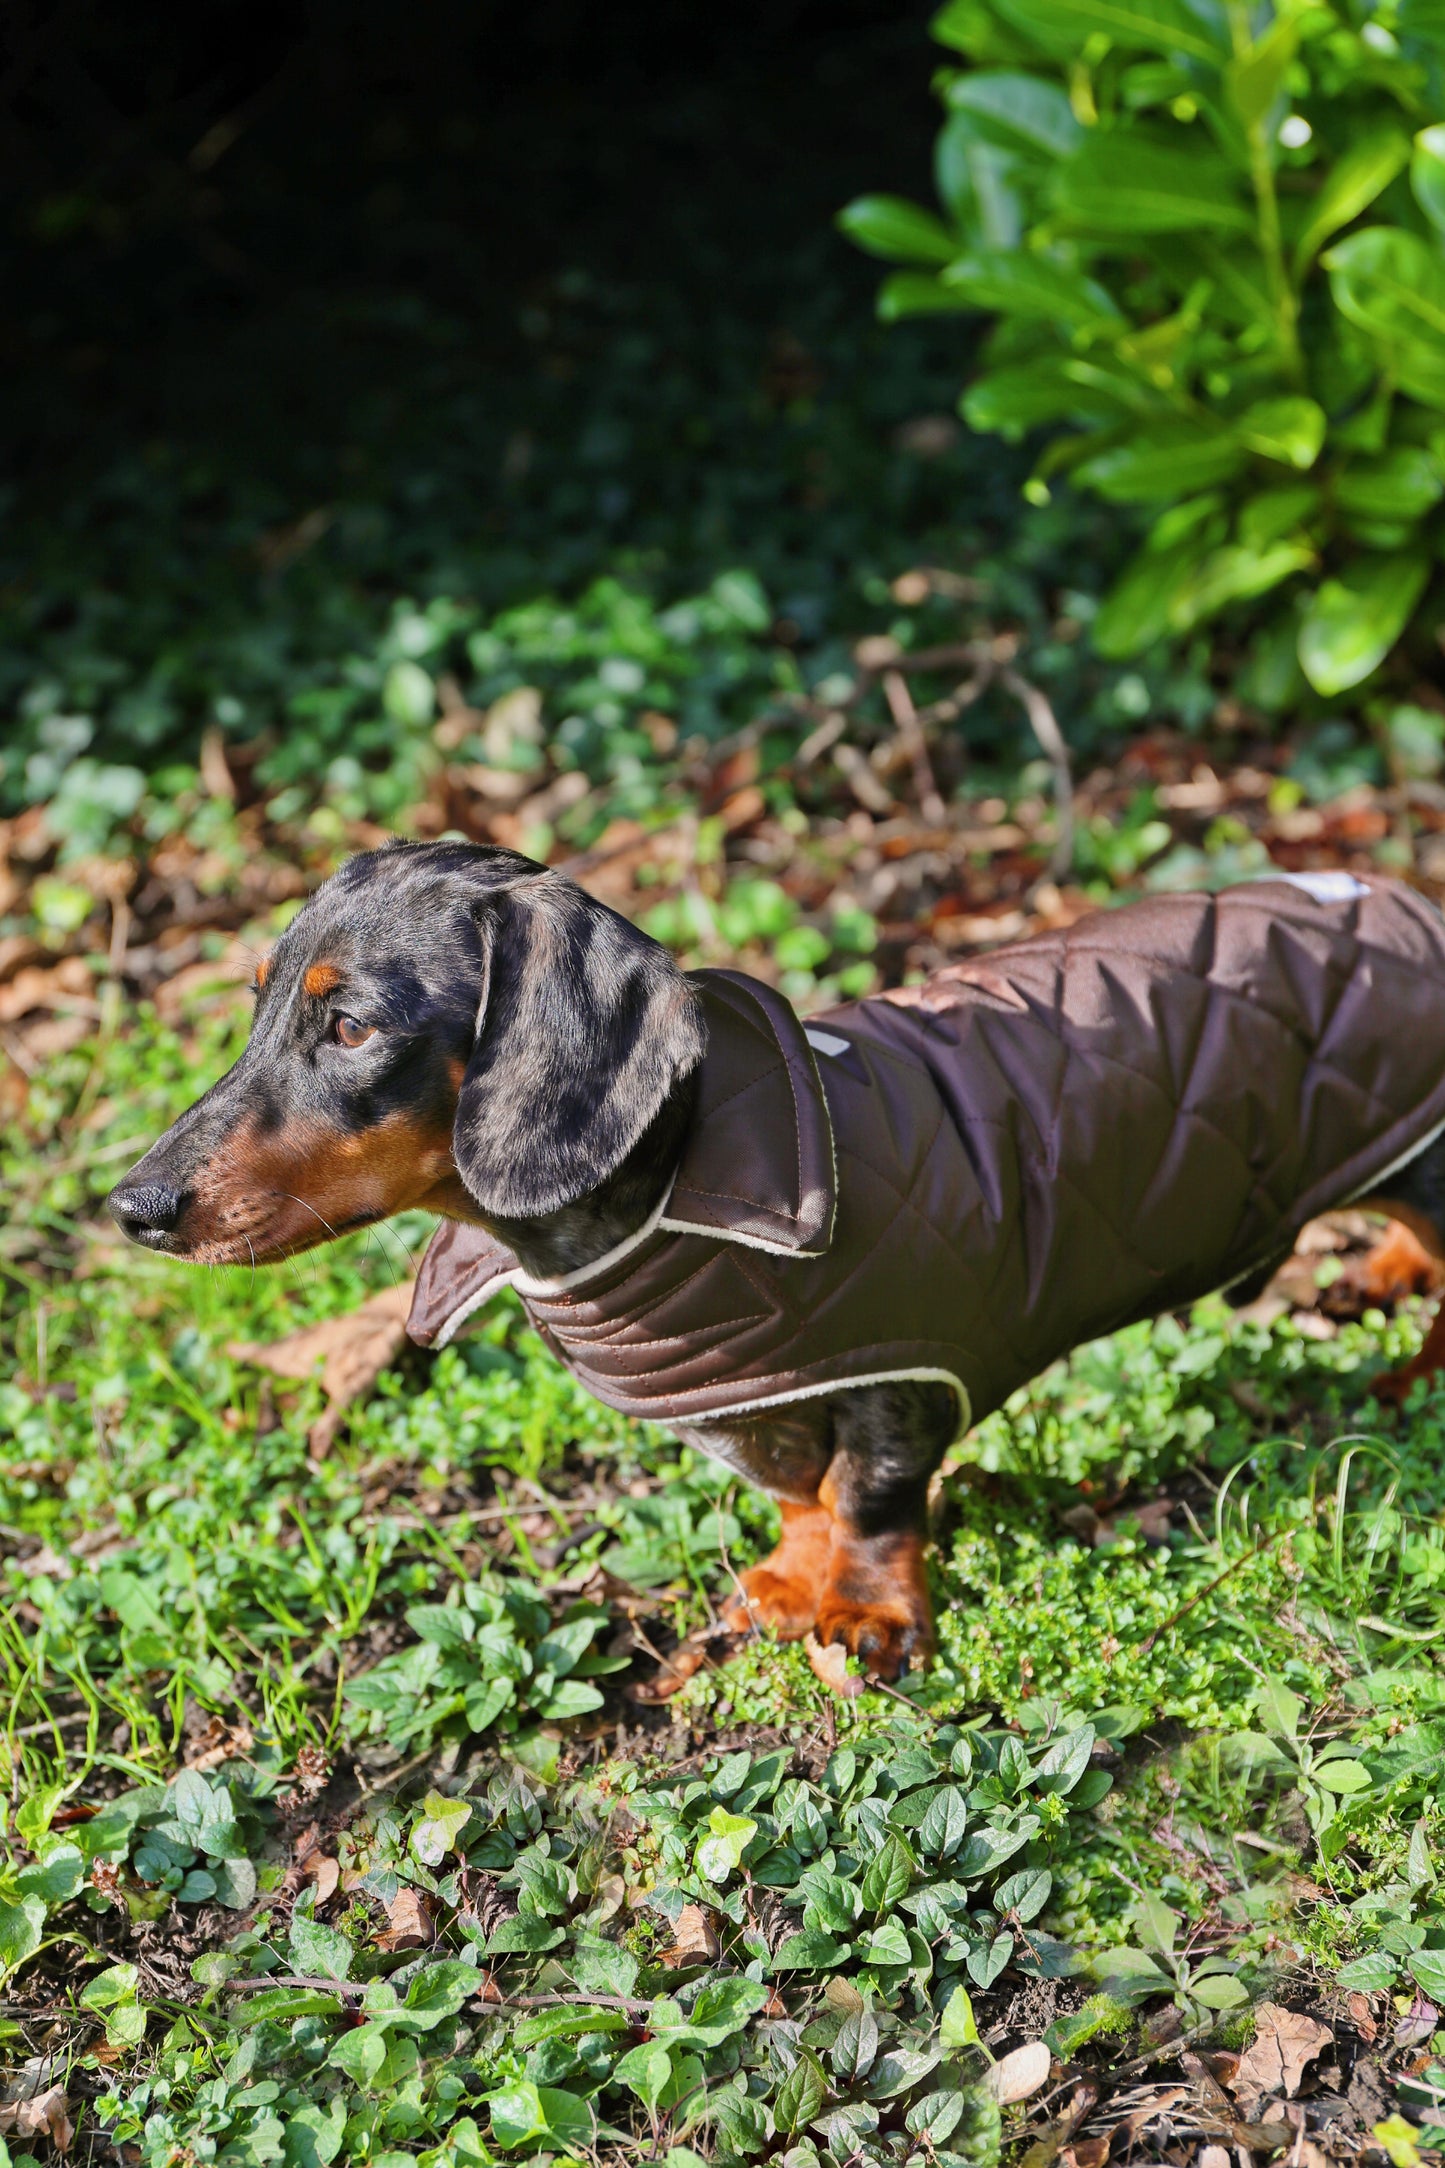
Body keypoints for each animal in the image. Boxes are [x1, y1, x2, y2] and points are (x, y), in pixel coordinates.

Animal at [110, 841, 1445, 1673]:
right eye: (258, 1003)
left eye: (348, 1023)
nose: (133, 1206)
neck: (661, 1195)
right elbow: (800, 1489)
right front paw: (796, 1578)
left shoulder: (903, 1366)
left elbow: (865, 1492)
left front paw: (863, 1607)